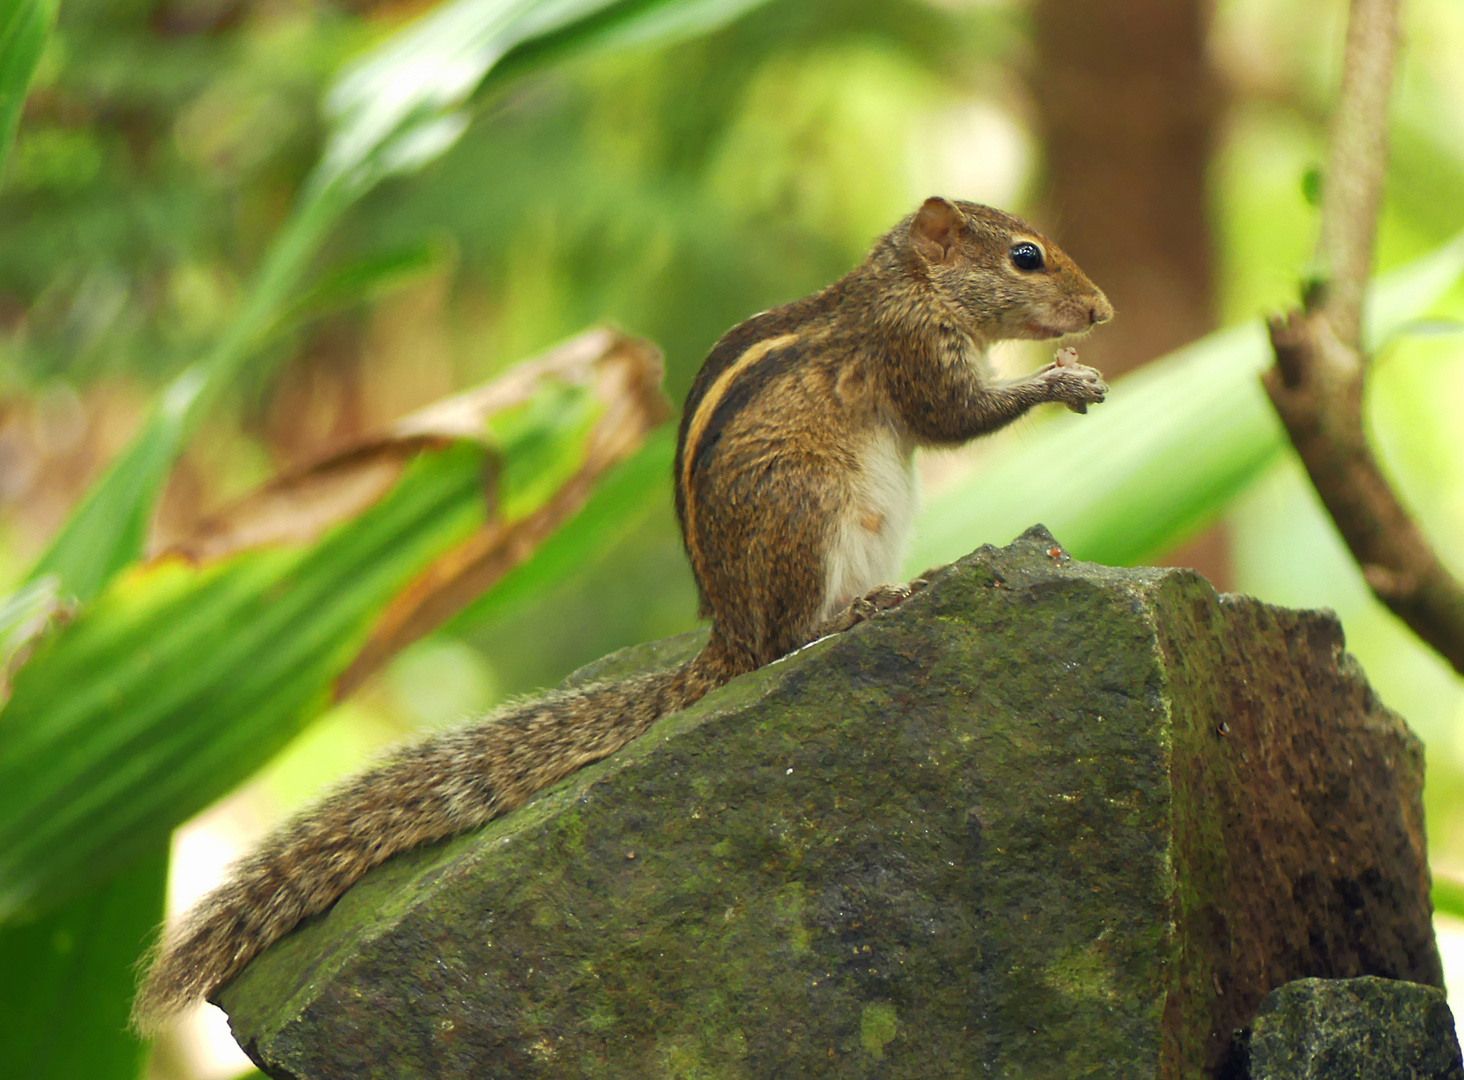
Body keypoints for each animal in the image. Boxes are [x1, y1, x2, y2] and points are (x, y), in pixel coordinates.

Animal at [134, 197, 1106, 1030]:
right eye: (1026, 256)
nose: (1101, 310)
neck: (903, 285)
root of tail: (725, 633)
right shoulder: (913, 352)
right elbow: (955, 418)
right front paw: (1061, 383)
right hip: (808, 509)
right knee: (787, 641)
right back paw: (862, 609)